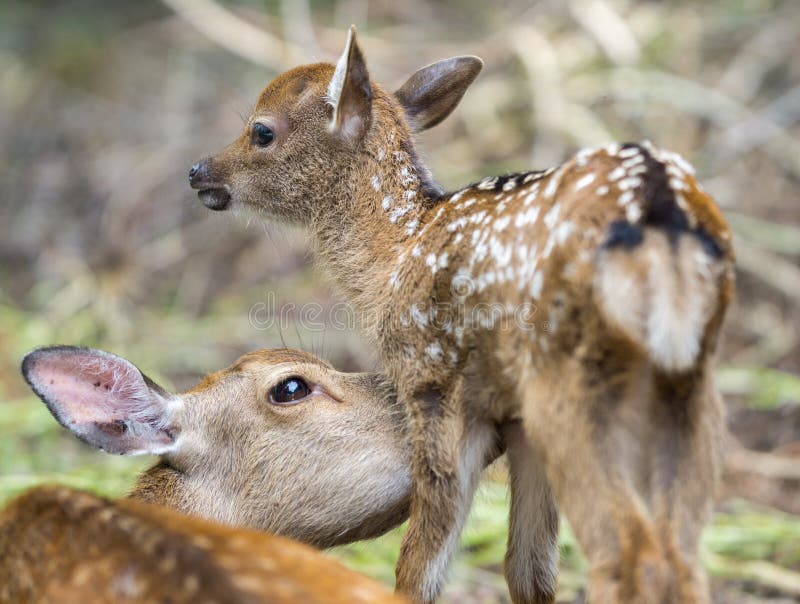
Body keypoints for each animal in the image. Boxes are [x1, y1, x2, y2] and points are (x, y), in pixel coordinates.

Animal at [191, 28, 736, 604]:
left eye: (262, 131)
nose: (197, 171)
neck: (396, 255)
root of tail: (663, 212)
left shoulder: (435, 386)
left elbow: (418, 569)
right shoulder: (516, 421)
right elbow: (529, 572)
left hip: (573, 388)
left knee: (633, 553)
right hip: (688, 385)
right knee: (681, 553)